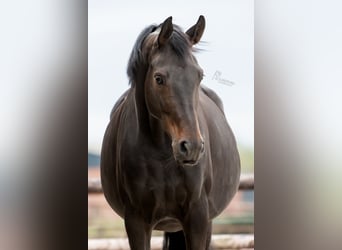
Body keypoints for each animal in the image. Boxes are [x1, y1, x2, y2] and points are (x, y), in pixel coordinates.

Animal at [101, 16, 240, 250]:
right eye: (158, 78)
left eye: (199, 75)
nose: (191, 147)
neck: (161, 155)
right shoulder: (136, 221)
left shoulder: (197, 217)